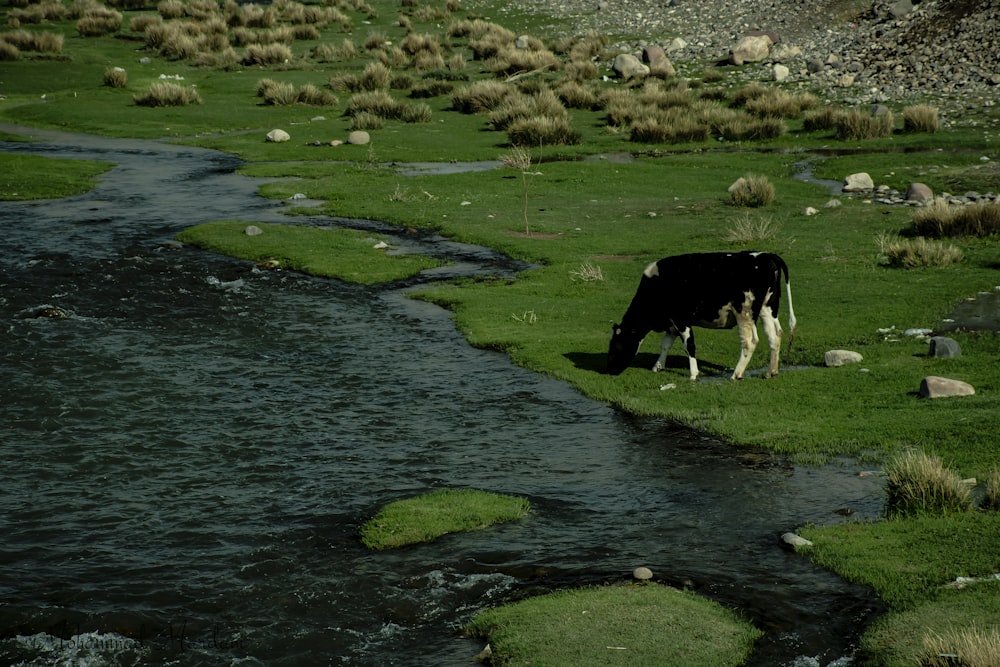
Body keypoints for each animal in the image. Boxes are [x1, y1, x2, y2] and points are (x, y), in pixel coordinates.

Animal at [608, 250, 796, 380]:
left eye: (616, 345)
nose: (610, 370)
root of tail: (766, 255)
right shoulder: (671, 322)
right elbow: (666, 344)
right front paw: (658, 366)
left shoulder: (681, 318)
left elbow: (689, 345)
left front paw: (693, 374)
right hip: (767, 308)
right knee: (775, 336)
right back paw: (771, 372)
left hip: (745, 312)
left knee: (750, 342)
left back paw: (736, 374)